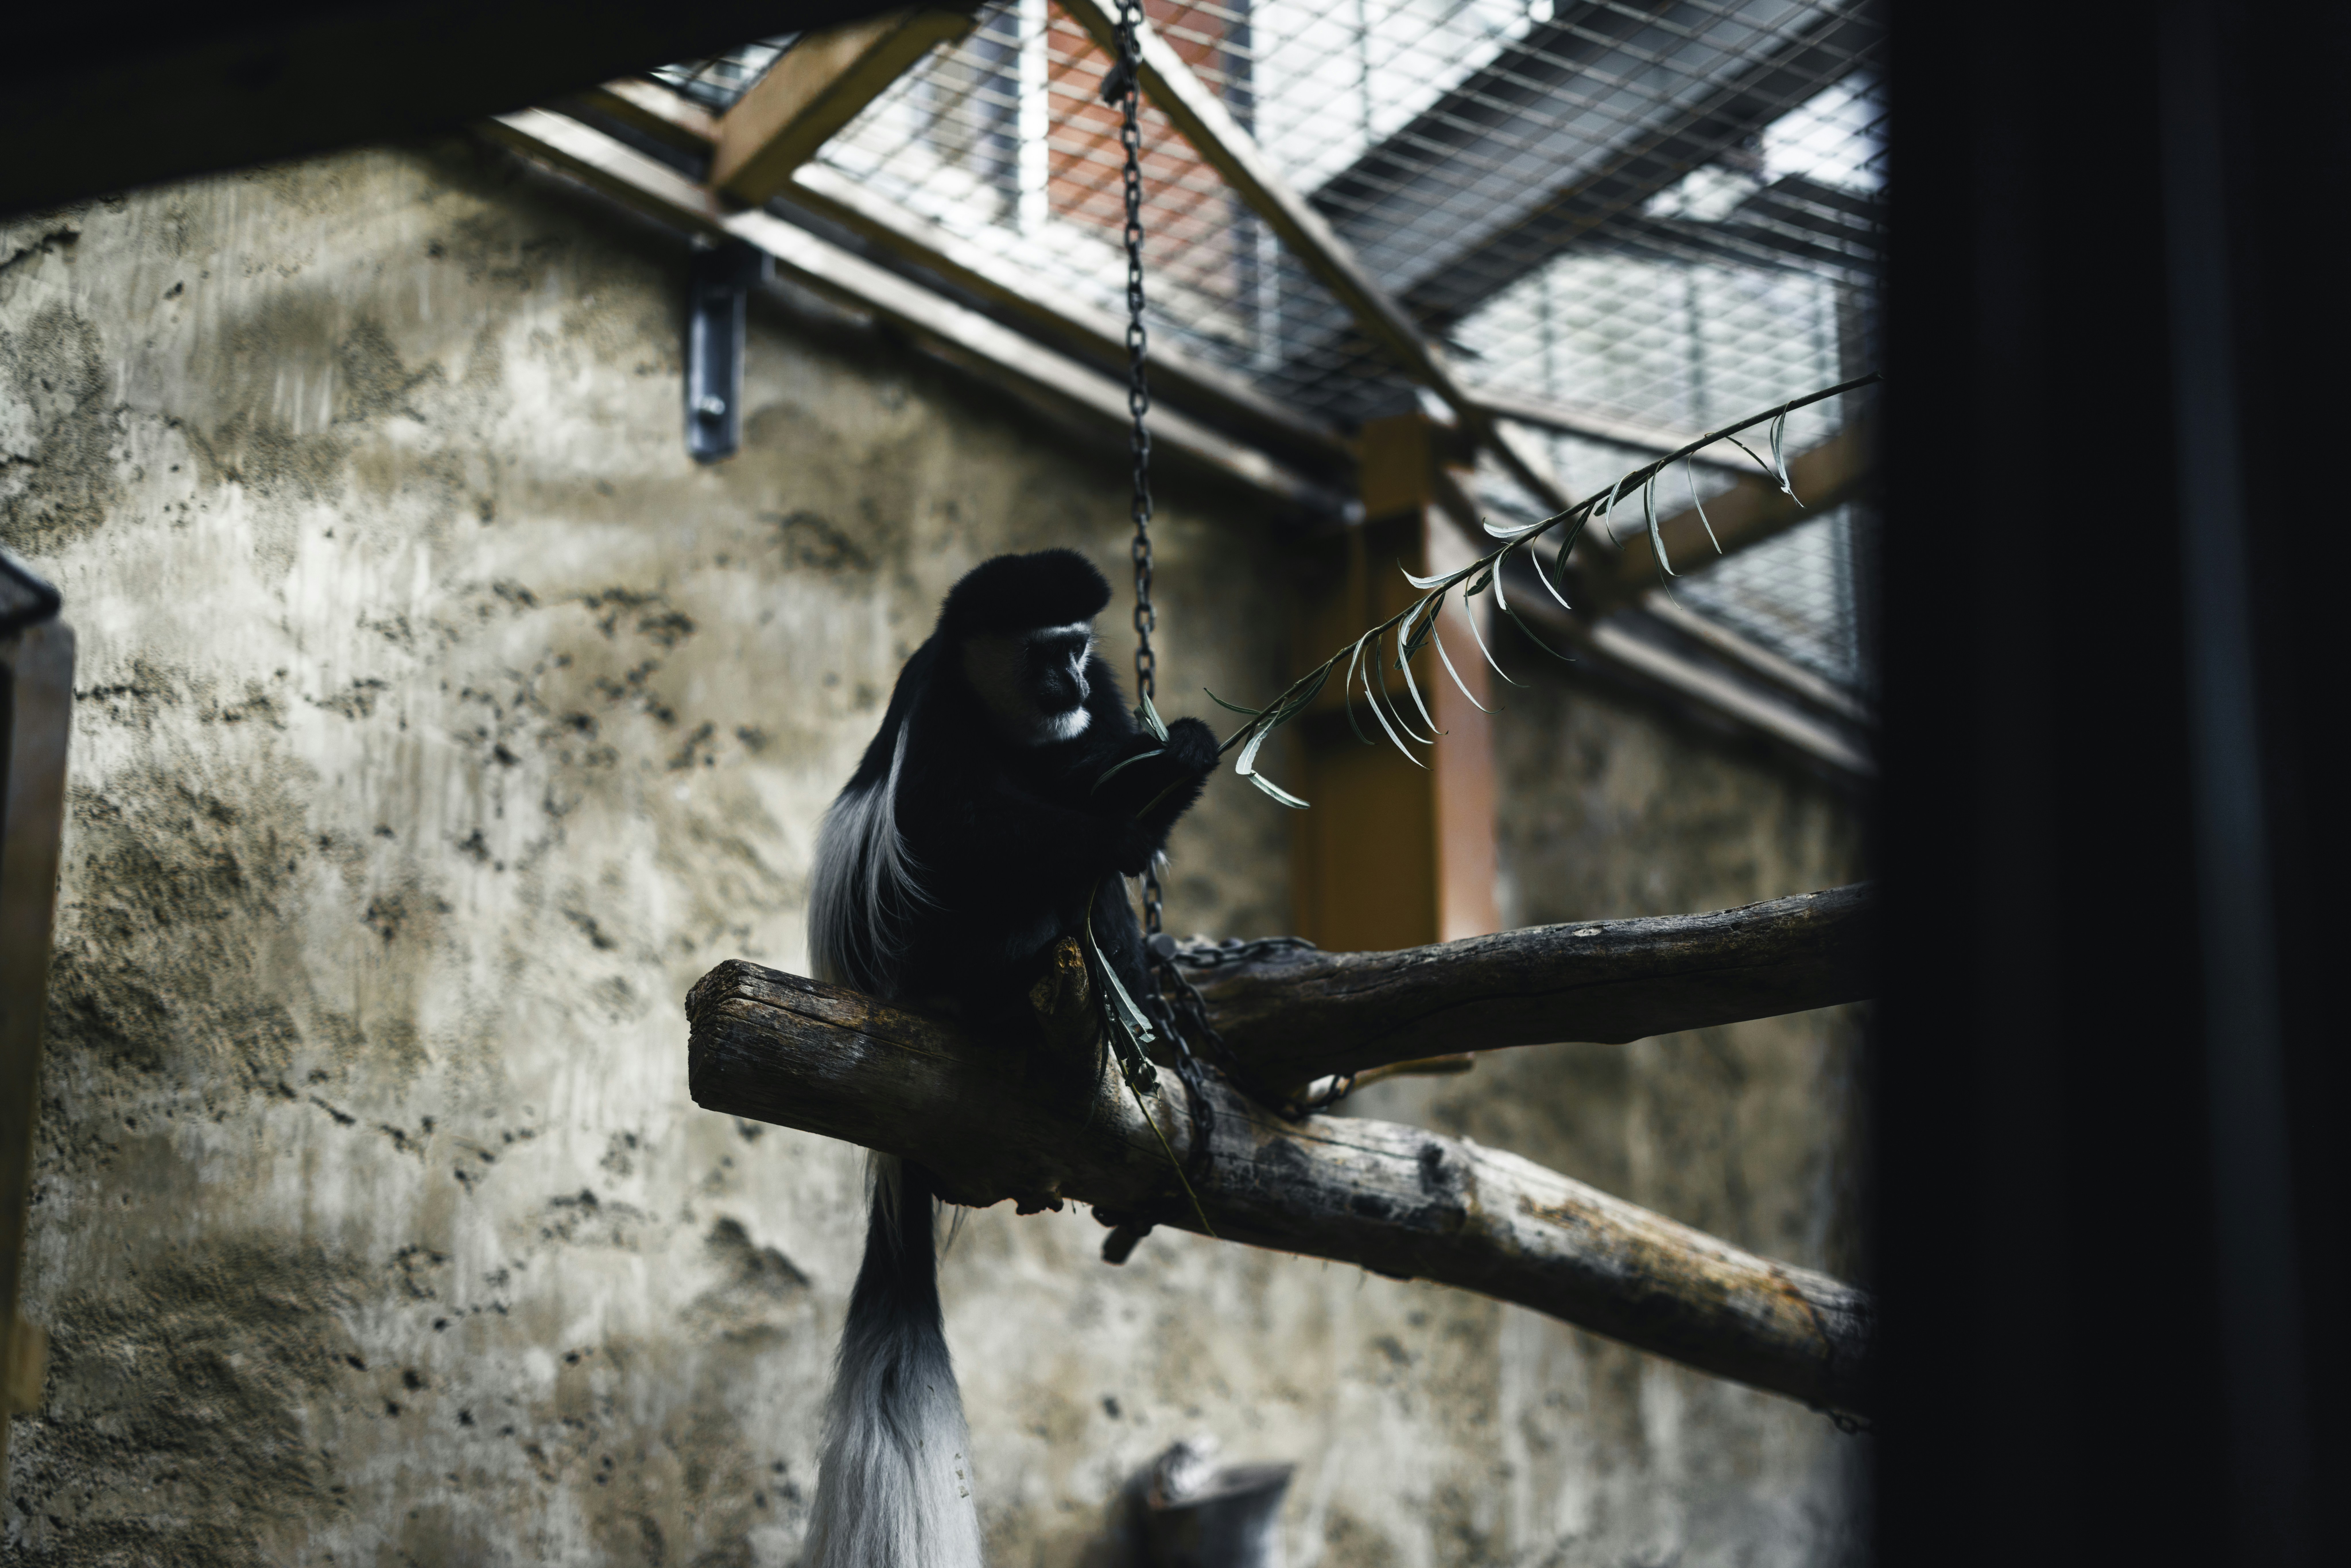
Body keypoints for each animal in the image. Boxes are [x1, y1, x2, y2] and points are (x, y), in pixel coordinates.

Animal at [801, 549, 1219, 1568]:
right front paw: (1135, 815)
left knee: (1089, 897)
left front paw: (1178, 755)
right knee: (999, 868)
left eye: (1076, 649)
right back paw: (1016, 991)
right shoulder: (941, 708)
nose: (1064, 682)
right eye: (1043, 653)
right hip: (929, 950)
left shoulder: (1103, 702)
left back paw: (1144, 1021)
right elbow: (950, 821)